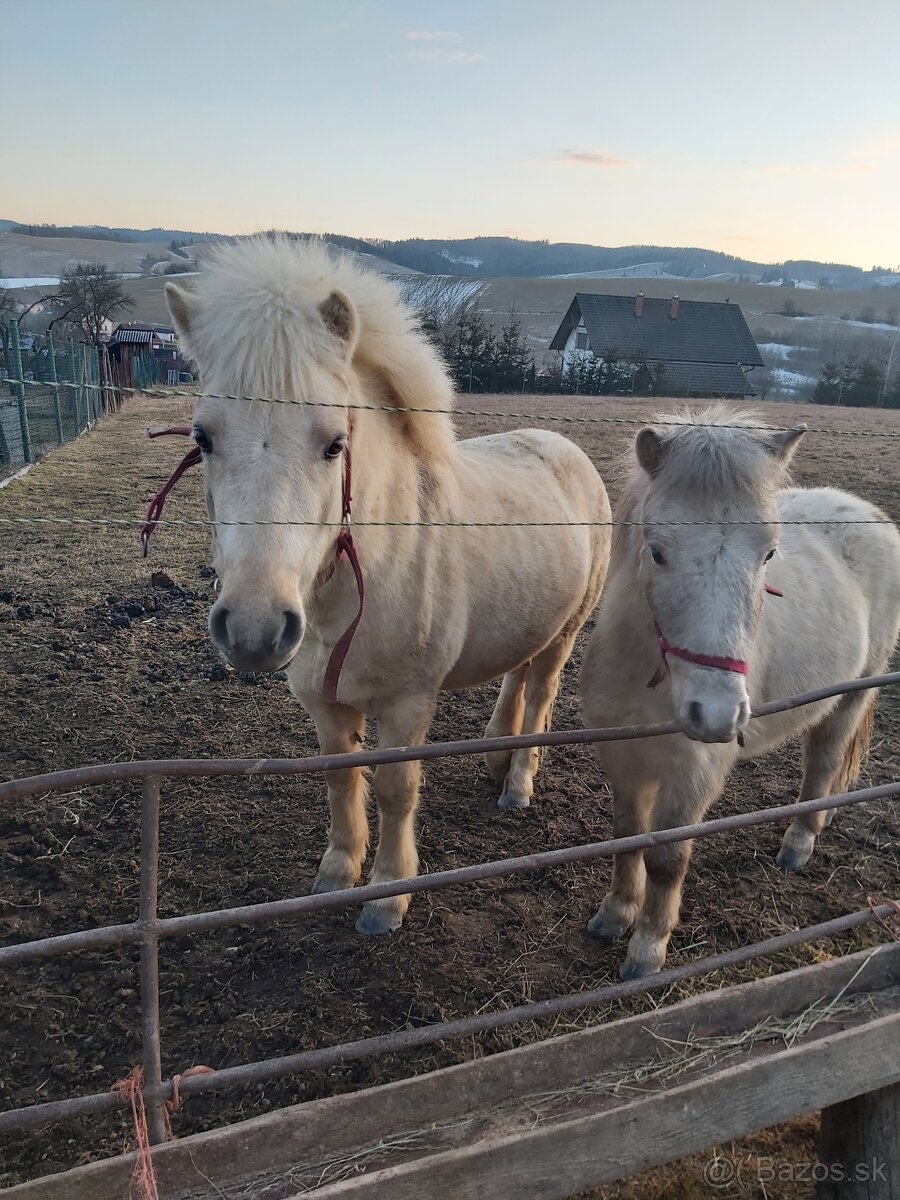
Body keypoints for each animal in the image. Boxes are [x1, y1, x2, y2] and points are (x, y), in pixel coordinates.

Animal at [164, 238, 609, 936]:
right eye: (202, 438)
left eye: (334, 444)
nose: (255, 629)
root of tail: (564, 448)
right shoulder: (324, 704)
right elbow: (341, 781)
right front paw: (338, 872)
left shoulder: (407, 702)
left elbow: (397, 790)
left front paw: (387, 897)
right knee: (515, 676)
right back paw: (496, 755)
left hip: (567, 631)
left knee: (540, 692)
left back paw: (517, 784)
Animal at [580, 408, 897, 979]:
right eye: (657, 552)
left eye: (769, 553)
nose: (717, 714)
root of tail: (867, 512)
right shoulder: (622, 756)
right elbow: (628, 837)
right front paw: (615, 915)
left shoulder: (694, 772)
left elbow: (667, 857)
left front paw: (647, 949)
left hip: (851, 696)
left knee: (823, 760)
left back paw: (799, 842)